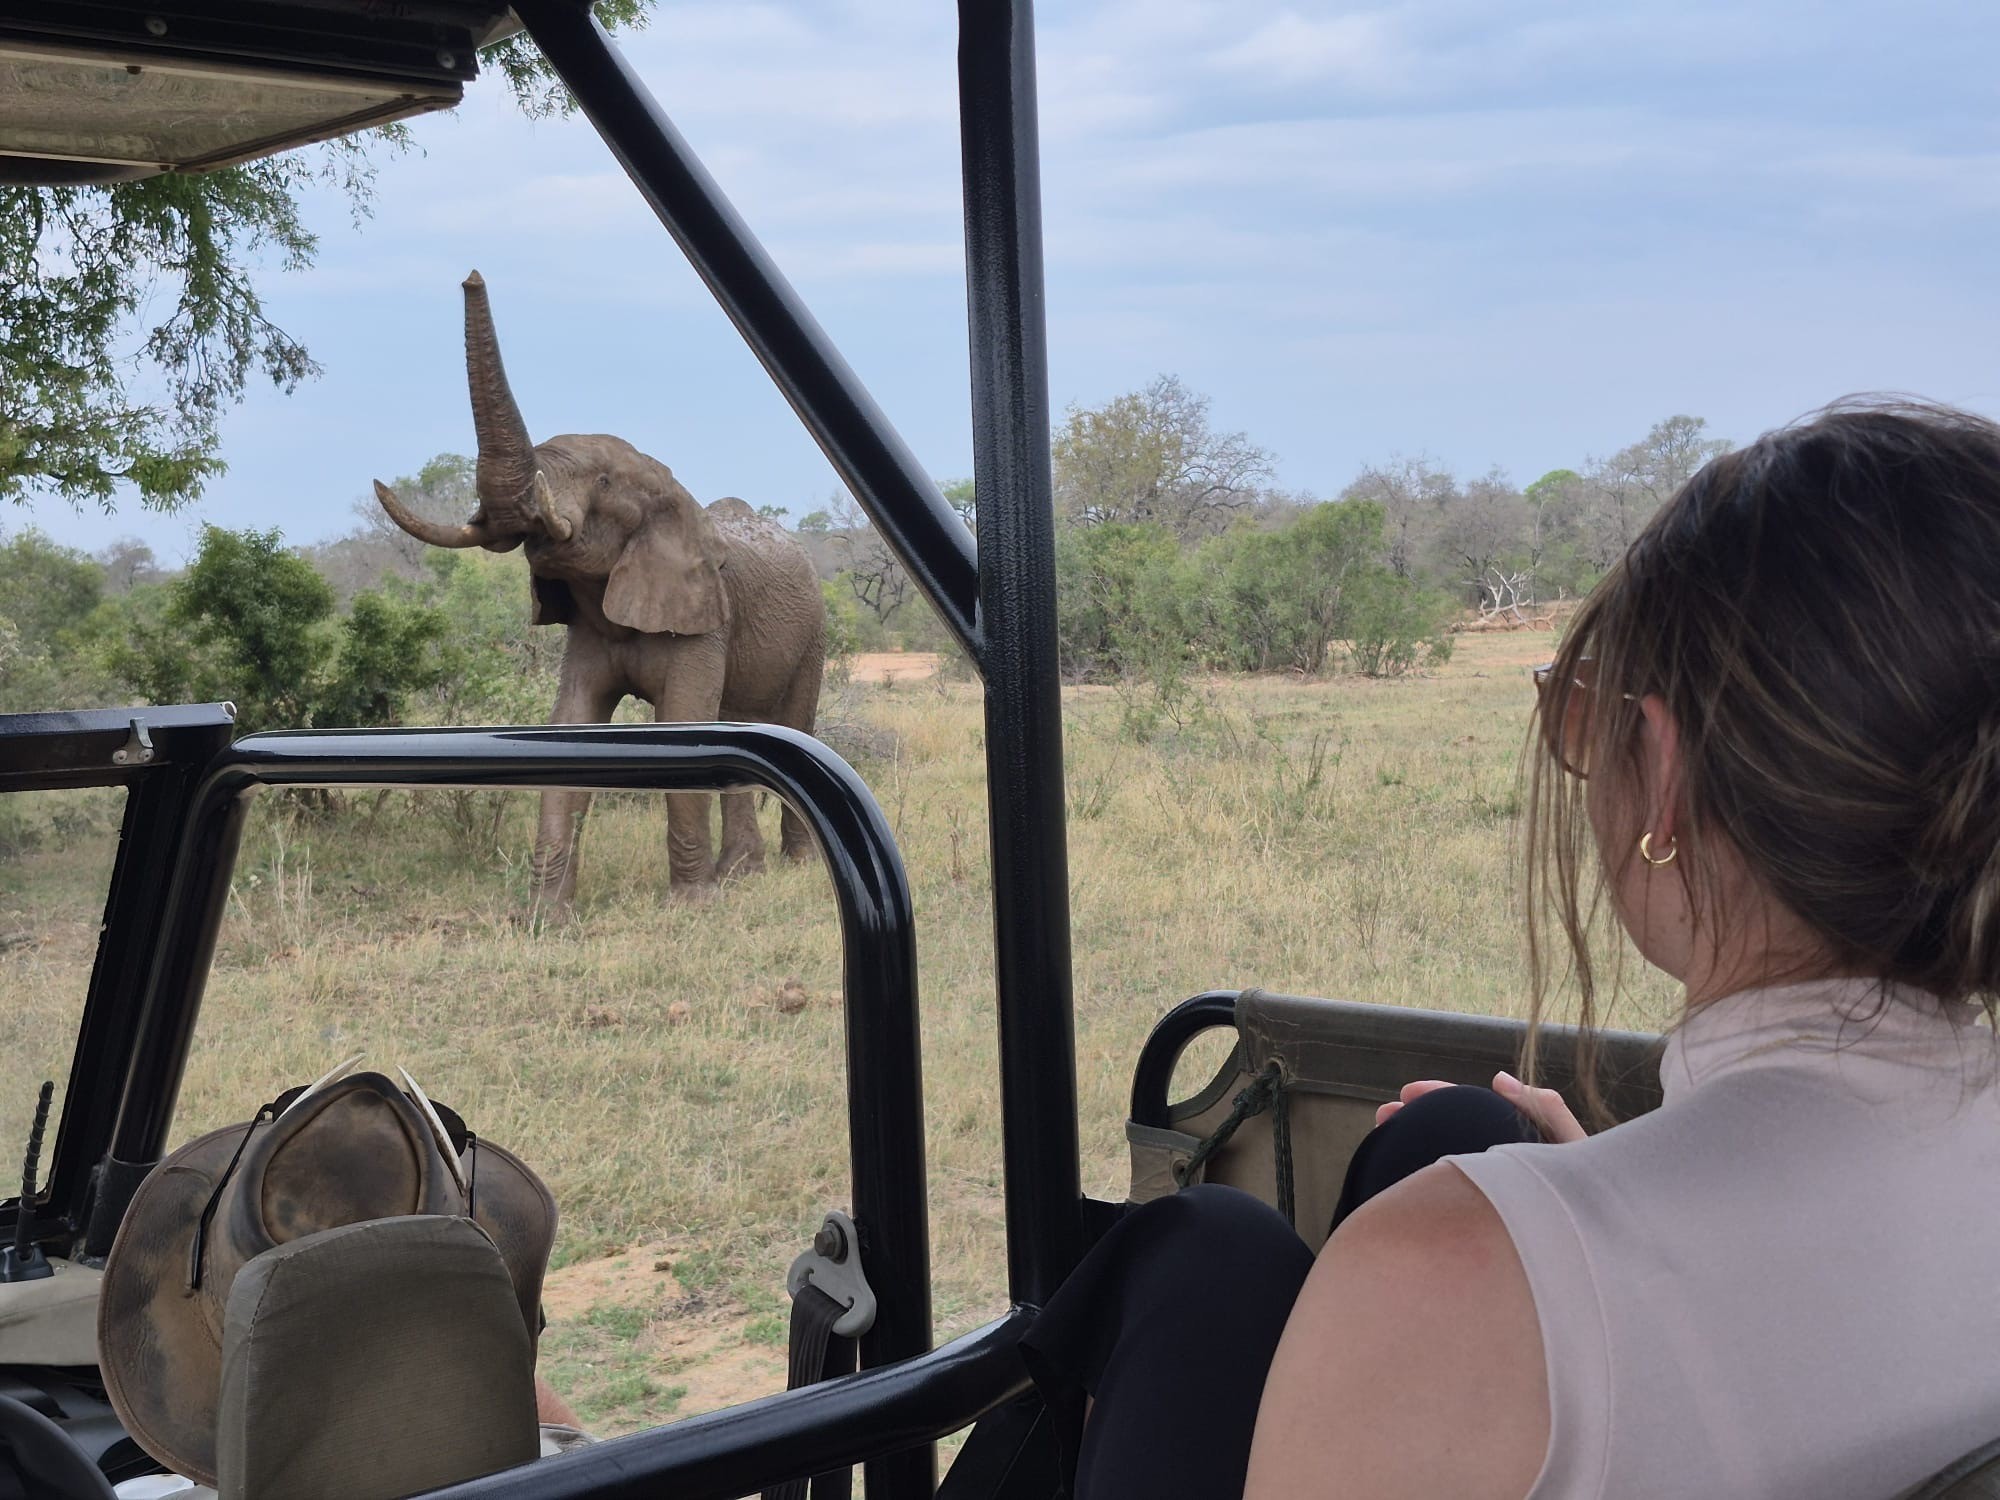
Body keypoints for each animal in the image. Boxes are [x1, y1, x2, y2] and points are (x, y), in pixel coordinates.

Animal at [372, 271, 826, 916]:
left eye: (604, 482)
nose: (471, 276)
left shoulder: (704, 618)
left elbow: (683, 726)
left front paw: (691, 906)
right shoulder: (588, 630)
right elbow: (572, 724)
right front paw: (544, 917)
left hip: (814, 632)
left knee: (793, 723)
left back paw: (796, 865)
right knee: (741, 726)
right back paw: (742, 874)